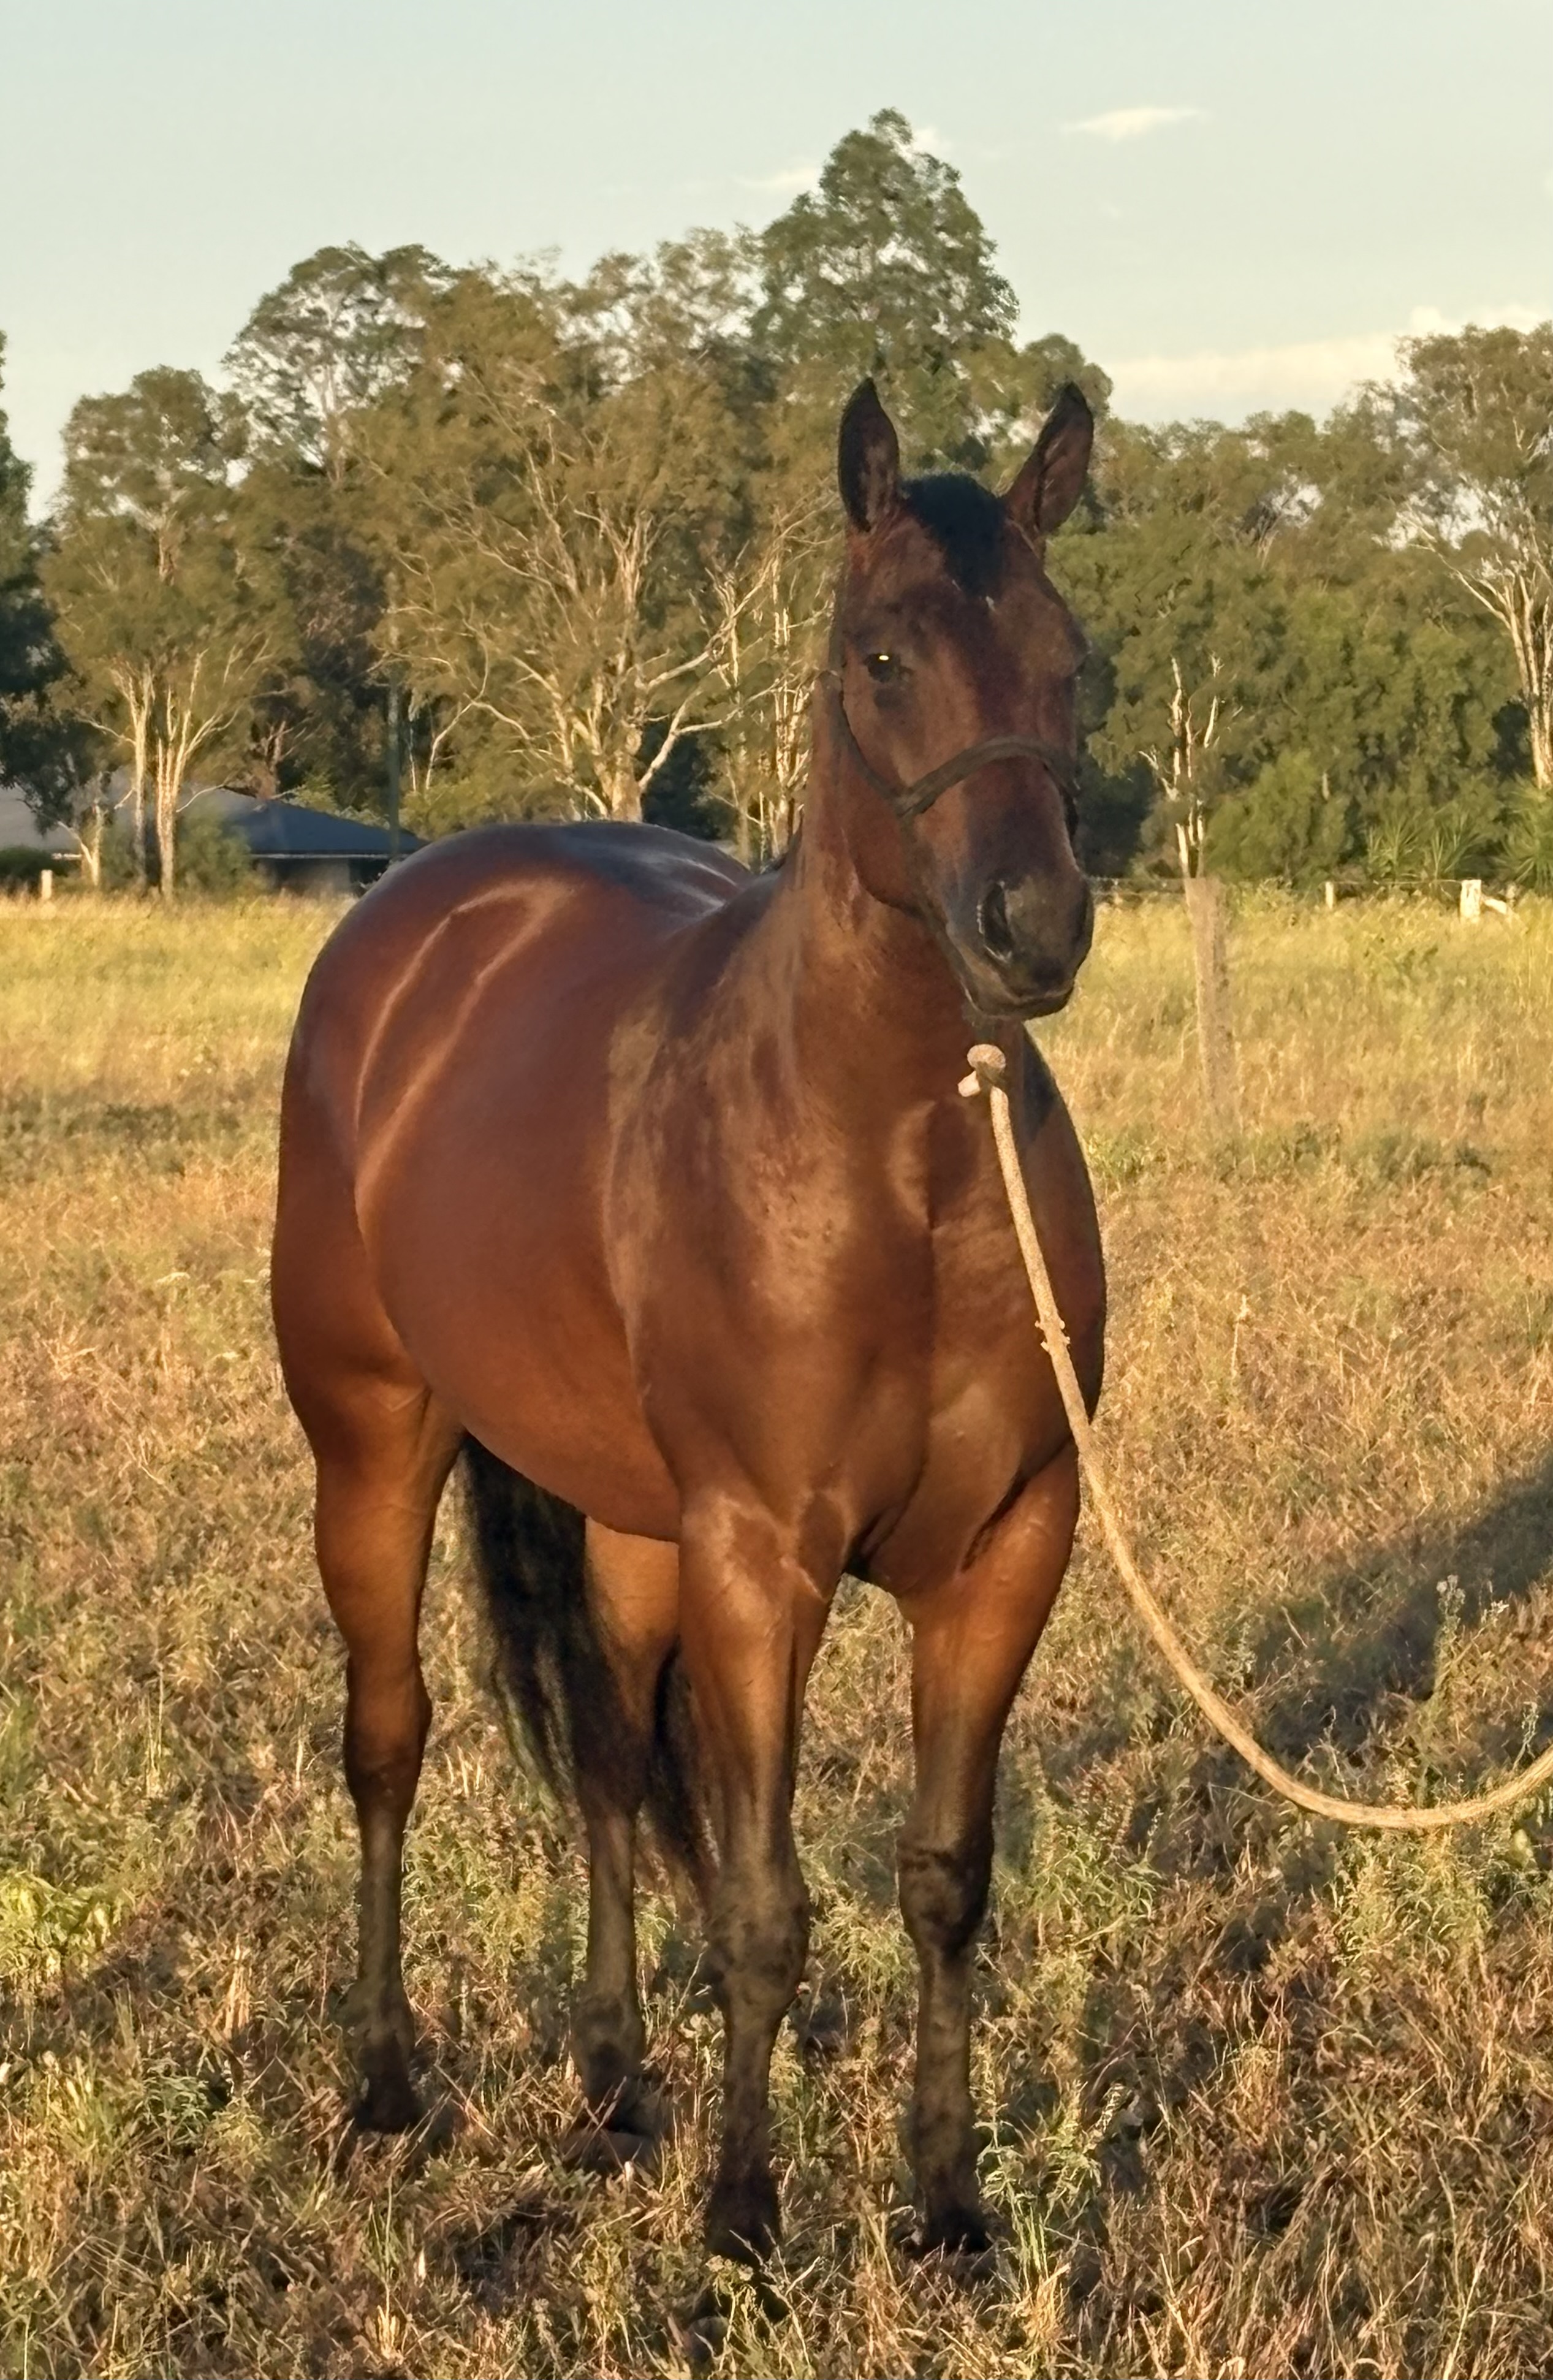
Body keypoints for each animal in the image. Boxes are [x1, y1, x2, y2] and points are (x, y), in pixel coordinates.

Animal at [271, 377, 1104, 2262]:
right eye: (882, 655)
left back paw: (610, 2079)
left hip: (629, 1520)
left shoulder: (1005, 1548)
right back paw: (384, 2080)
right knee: (390, 1740)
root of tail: (416, 910)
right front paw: (742, 2212)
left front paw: (945, 2200)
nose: (1032, 930)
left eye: (1074, 663)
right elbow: (762, 1896)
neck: (900, 1161)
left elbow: (944, 1876)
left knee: (595, 1758)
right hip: (375, 1442)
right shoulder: (763, 1557)